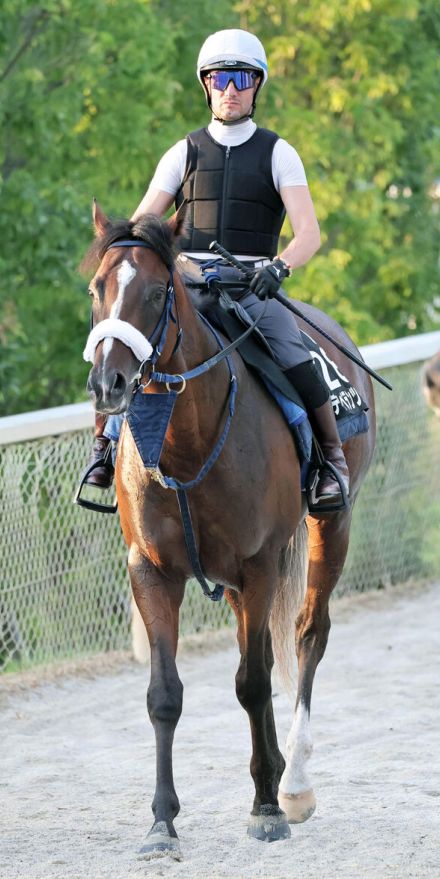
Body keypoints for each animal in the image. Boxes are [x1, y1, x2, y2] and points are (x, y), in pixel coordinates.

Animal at [84, 201, 376, 860]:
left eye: (157, 292)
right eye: (97, 289)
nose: (109, 382)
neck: (184, 443)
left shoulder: (258, 564)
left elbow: (253, 682)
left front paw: (267, 807)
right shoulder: (152, 570)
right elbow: (165, 695)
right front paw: (161, 824)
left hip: (331, 526)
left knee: (306, 636)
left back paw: (293, 785)